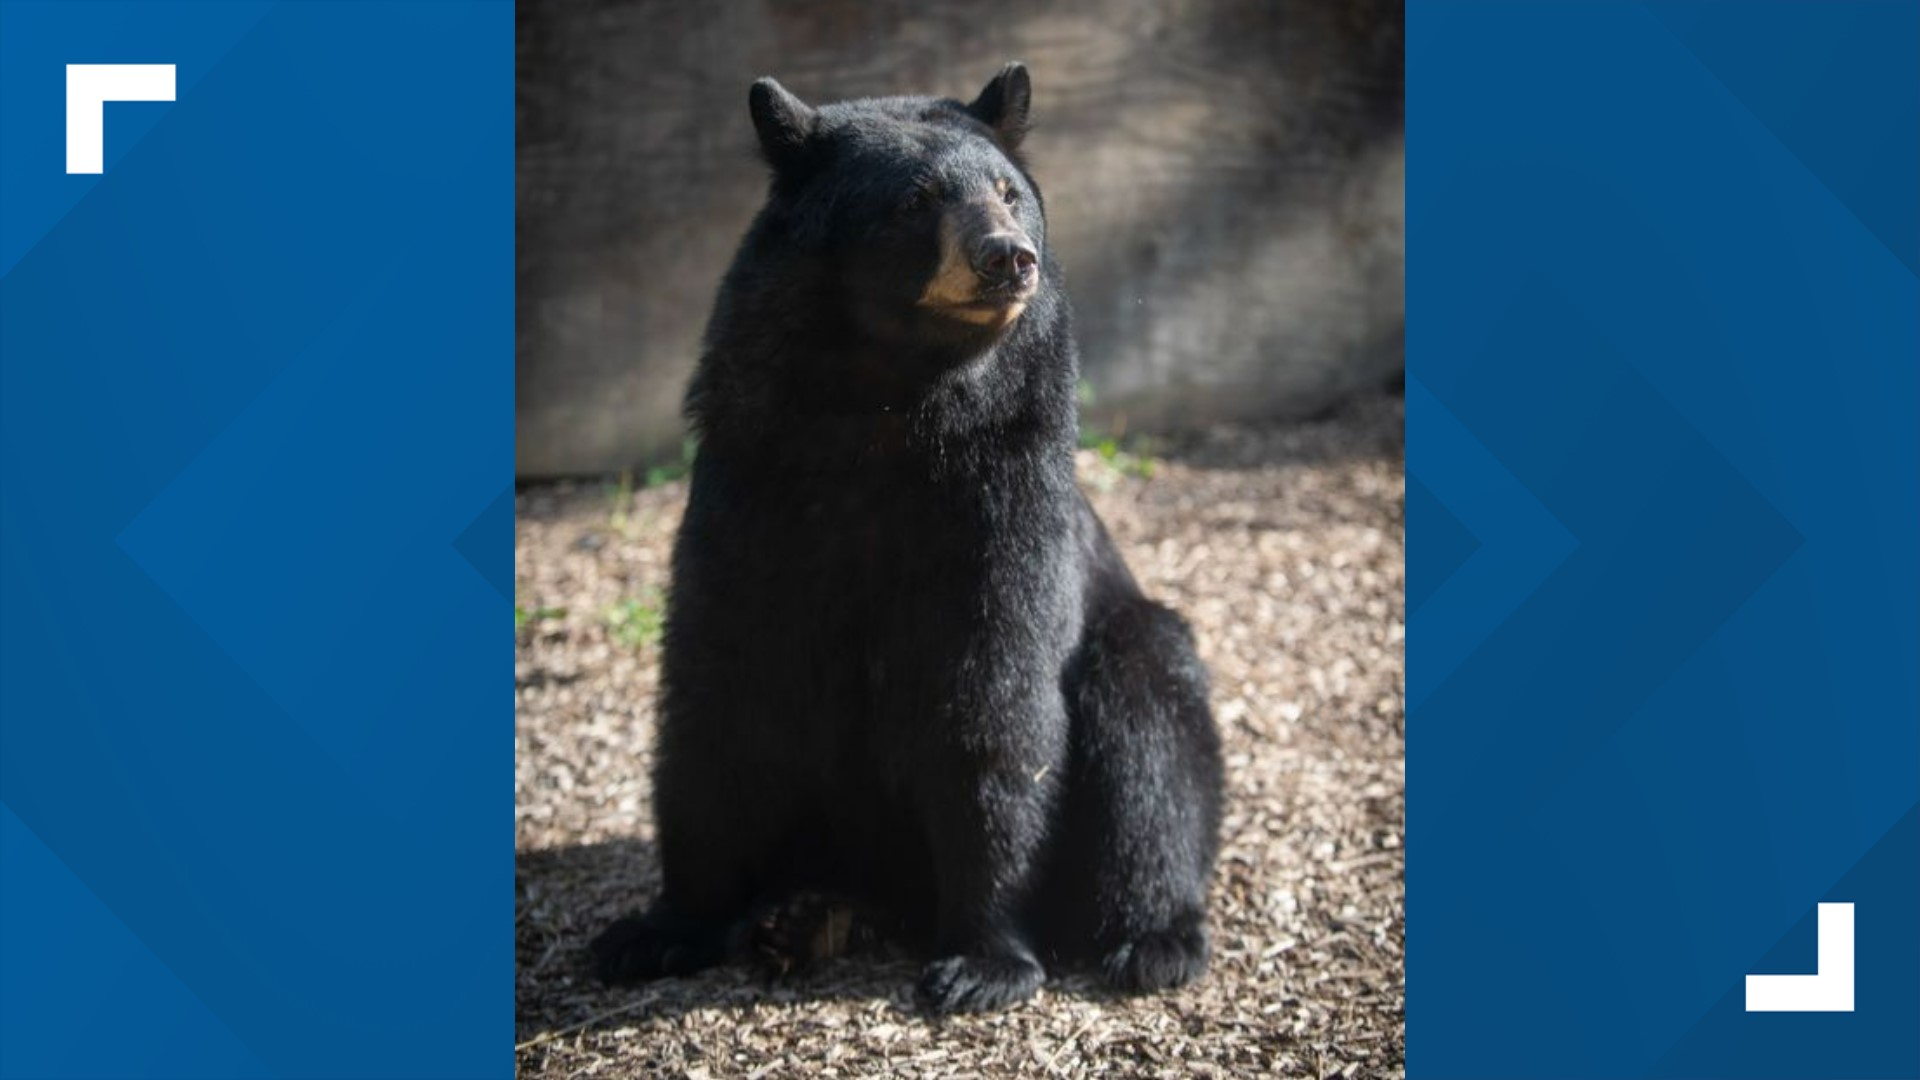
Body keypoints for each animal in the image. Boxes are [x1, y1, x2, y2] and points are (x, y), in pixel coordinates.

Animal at [590, 63, 1224, 1015]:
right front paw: (660, 929)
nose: (1007, 255)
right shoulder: (749, 470)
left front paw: (985, 960)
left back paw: (1153, 939)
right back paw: (806, 915)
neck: (887, 402)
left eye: (1008, 191)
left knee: (1151, 746)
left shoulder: (1004, 493)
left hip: (1136, 641)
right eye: (916, 199)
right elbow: (721, 684)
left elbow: (993, 694)